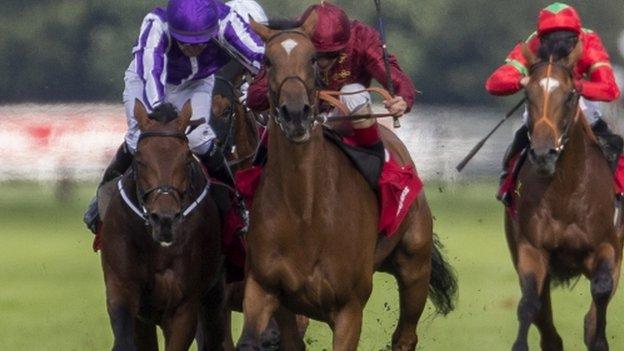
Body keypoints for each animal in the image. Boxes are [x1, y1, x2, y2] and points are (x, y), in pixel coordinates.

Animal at [101, 99, 228, 351]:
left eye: (186, 159)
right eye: (140, 159)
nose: (165, 218)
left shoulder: (184, 306)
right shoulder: (123, 291)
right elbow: (124, 340)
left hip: (215, 295)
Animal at [241, 12, 456, 350]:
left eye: (312, 58)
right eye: (267, 60)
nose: (295, 114)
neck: (305, 213)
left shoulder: (348, 308)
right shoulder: (265, 288)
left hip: (414, 265)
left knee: (405, 336)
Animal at [508, 42, 624, 351]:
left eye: (570, 94)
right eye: (527, 94)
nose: (543, 154)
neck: (566, 190)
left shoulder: (607, 247)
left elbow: (600, 293)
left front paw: (599, 339)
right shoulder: (531, 249)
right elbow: (529, 303)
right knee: (547, 326)